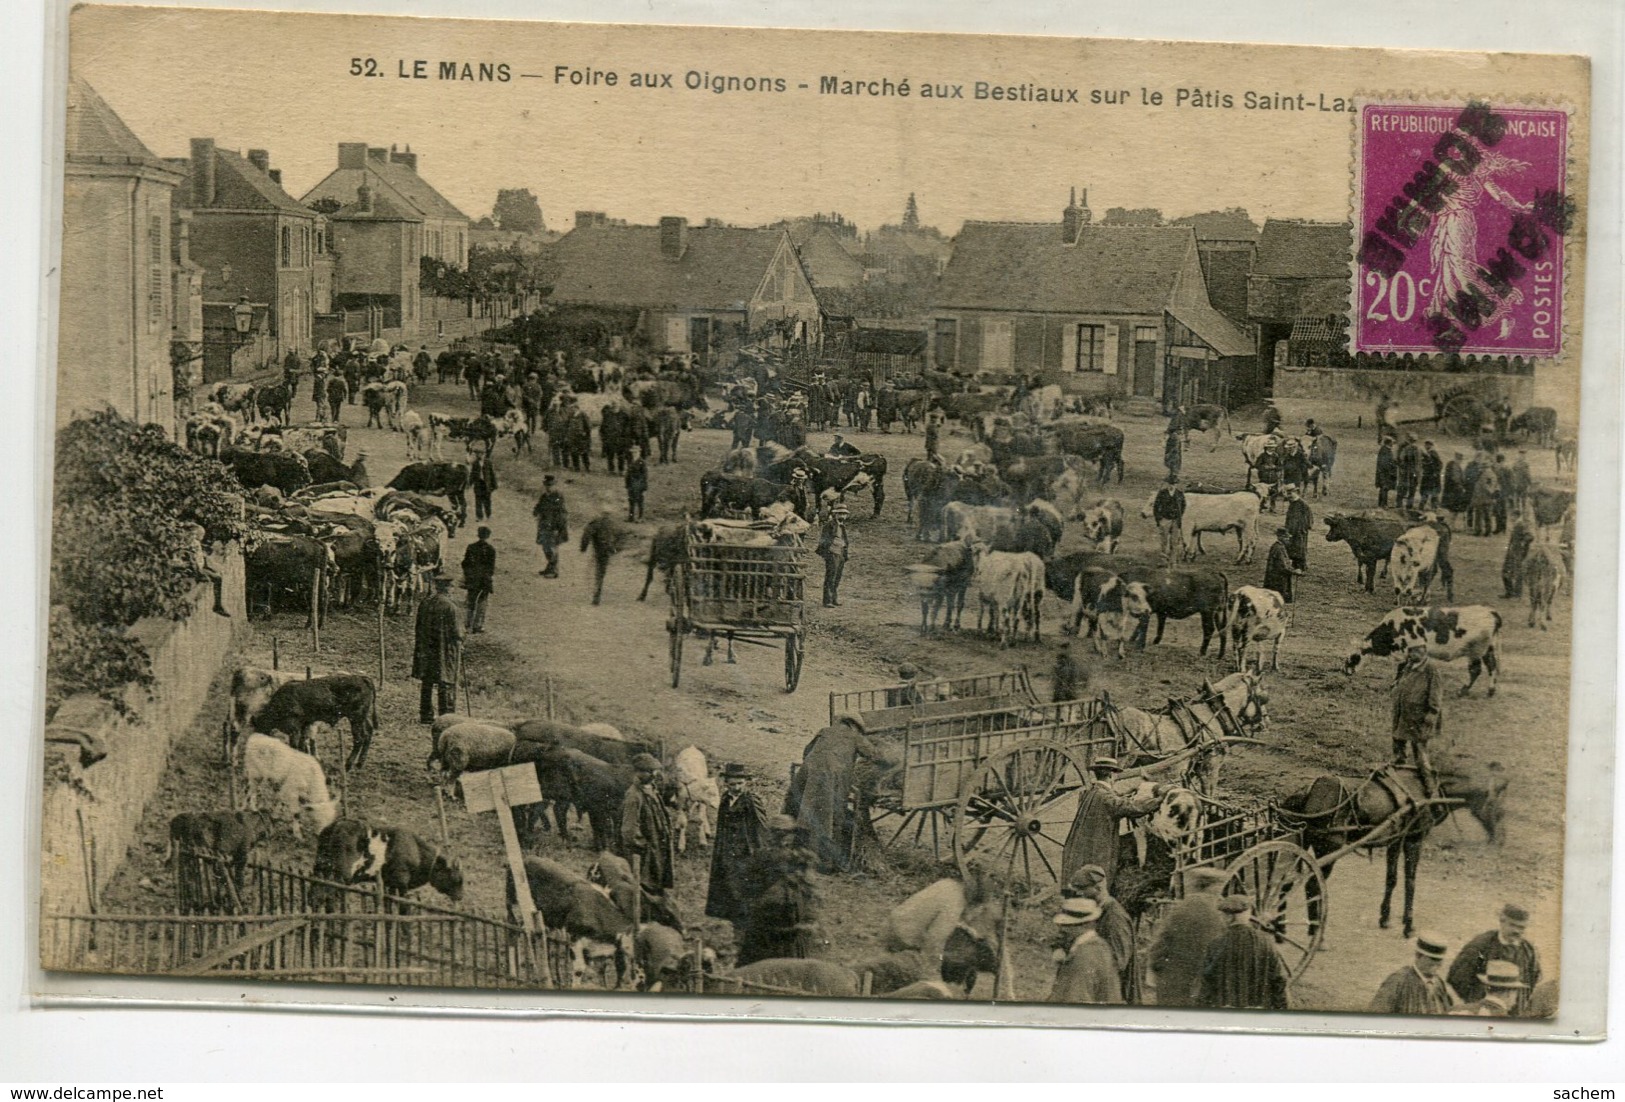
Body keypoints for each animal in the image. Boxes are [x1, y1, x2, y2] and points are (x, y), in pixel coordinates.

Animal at [250, 669, 380, 773]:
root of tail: (362, 678)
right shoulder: (304, 725)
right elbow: (302, 744)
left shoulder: (294, 729)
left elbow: (295, 746)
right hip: (362, 718)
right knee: (368, 732)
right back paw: (359, 764)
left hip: (355, 718)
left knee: (359, 739)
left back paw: (348, 766)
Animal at [1105, 669, 1267, 799]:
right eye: (1264, 698)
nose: (1265, 722)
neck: (1213, 713)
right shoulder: (1210, 768)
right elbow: (1209, 798)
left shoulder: (1189, 770)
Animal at [1280, 767, 1508, 942]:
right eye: (1497, 808)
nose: (1500, 840)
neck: (1428, 790)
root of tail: (1310, 791)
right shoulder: (1414, 840)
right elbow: (1410, 881)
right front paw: (1408, 925)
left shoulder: (1395, 840)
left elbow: (1391, 879)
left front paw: (1385, 918)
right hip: (1329, 848)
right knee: (1312, 884)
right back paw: (1315, 932)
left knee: (1285, 882)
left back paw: (1284, 928)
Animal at [1339, 604, 1501, 698]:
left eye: (1353, 657)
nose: (1344, 670)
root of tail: (1491, 612)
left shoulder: (1412, 650)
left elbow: (1402, 670)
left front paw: (1394, 687)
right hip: (1487, 649)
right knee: (1491, 666)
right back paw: (1490, 690)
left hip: (1477, 649)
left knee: (1476, 670)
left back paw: (1464, 691)